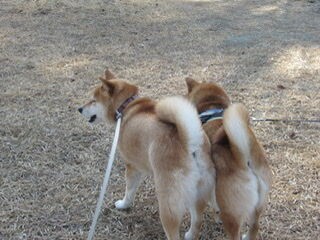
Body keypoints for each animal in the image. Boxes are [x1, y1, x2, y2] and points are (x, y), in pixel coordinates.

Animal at [79, 68, 216, 239]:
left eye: (93, 100)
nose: (79, 109)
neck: (127, 106)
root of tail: (190, 141)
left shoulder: (132, 166)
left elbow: (129, 190)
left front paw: (123, 205)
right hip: (198, 194)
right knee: (197, 221)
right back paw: (190, 235)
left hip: (168, 204)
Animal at [185, 78, 272, 239]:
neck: (212, 109)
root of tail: (245, 161)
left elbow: (197, 218)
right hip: (258, 206)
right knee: (255, 226)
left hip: (231, 215)